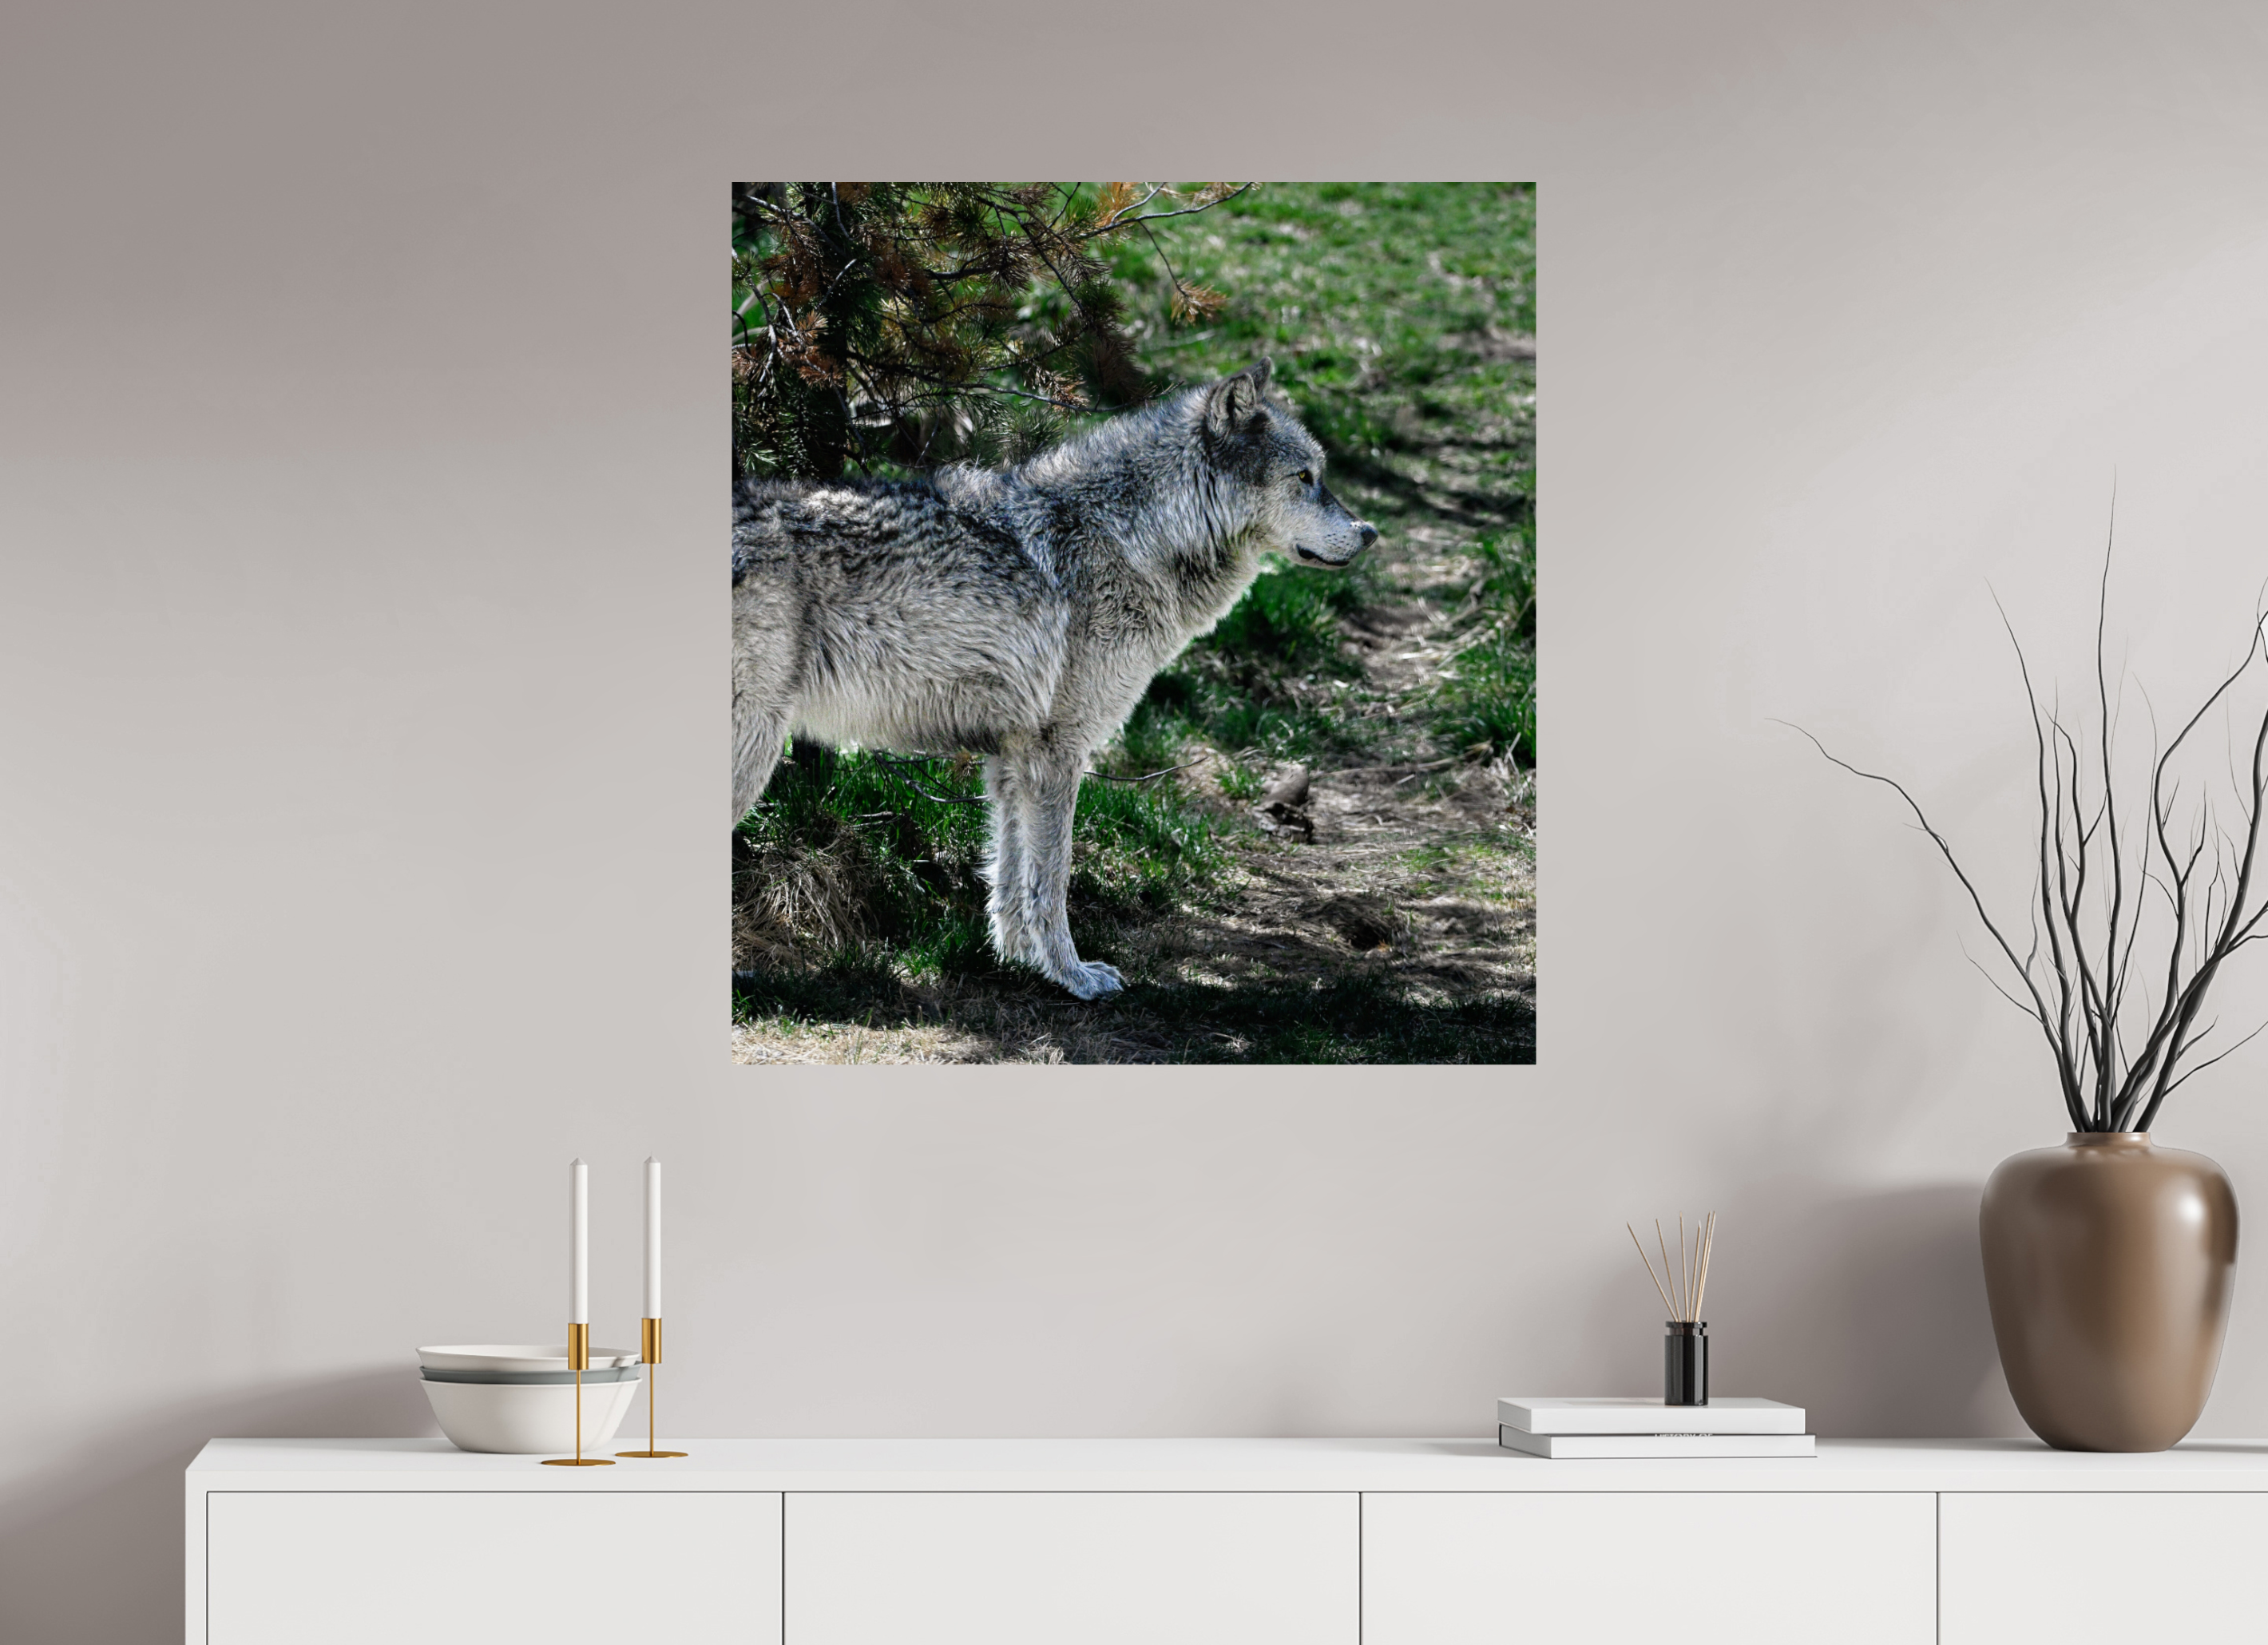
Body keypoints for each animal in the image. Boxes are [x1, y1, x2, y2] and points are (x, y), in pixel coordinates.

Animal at [731, 359, 1377, 999]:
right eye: (1304, 477)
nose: (1370, 532)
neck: (1135, 538)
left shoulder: (1013, 756)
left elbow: (1011, 877)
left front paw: (1021, 961)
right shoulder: (1059, 750)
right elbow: (1054, 877)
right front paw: (1073, 975)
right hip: (754, 751)